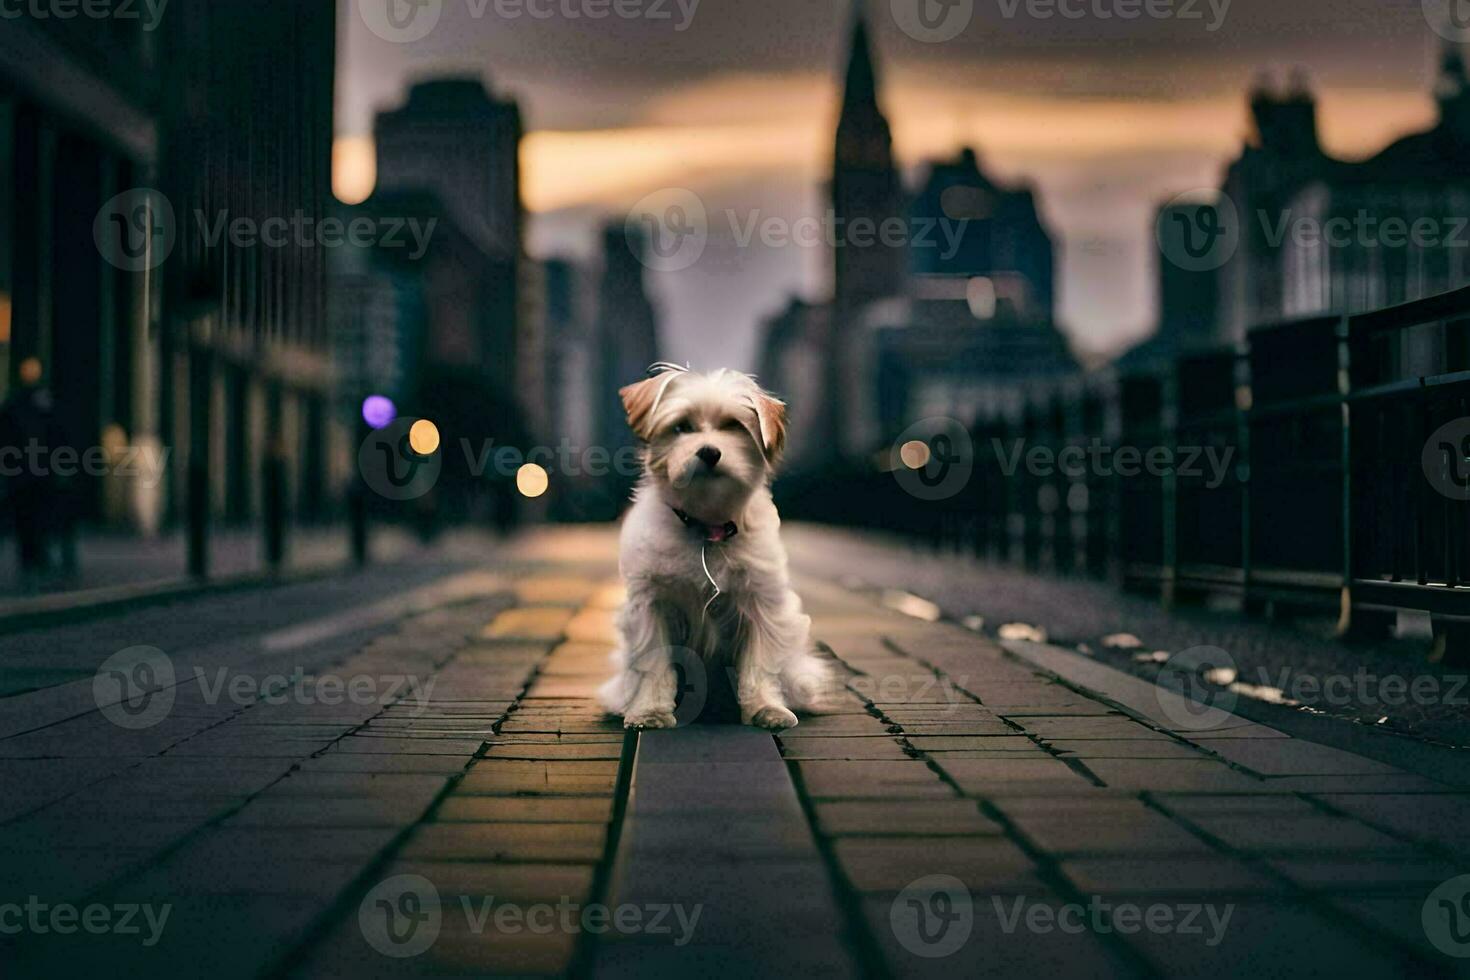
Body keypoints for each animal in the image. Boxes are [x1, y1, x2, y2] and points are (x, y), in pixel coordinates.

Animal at [593, 364, 829, 731]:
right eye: (681, 427)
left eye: (733, 425)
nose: (709, 451)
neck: (707, 526)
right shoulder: (651, 607)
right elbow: (654, 666)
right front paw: (650, 711)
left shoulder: (763, 607)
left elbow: (760, 666)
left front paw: (765, 708)